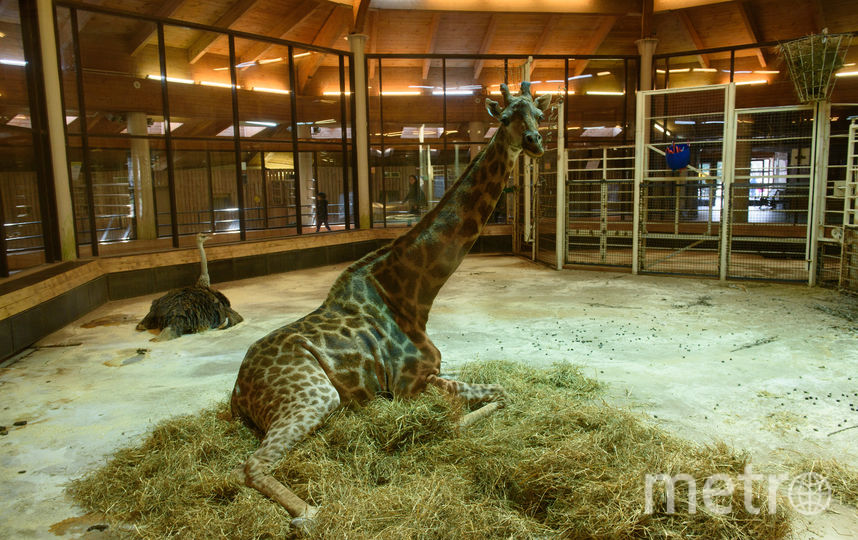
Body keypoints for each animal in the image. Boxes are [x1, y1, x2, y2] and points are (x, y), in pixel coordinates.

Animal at [229, 84, 548, 528]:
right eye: (504, 119)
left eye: (539, 113)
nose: (535, 142)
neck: (413, 295)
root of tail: (238, 390)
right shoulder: (409, 384)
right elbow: (483, 400)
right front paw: (455, 422)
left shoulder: (433, 371)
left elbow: (499, 390)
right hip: (313, 395)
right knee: (252, 464)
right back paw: (308, 513)